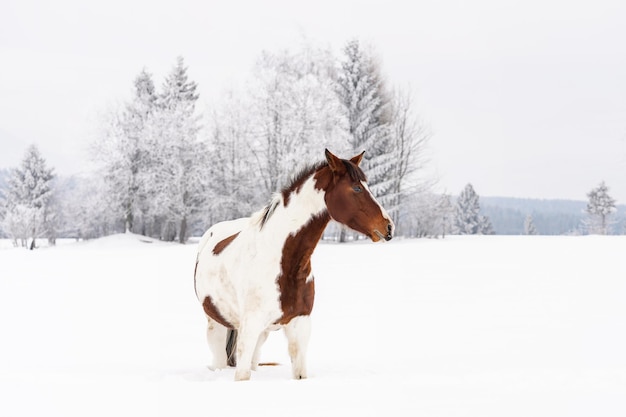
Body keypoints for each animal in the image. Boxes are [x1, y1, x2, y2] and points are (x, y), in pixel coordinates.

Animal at [193, 150, 392, 380]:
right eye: (357, 188)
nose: (388, 226)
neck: (283, 264)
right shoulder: (250, 327)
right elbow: (242, 375)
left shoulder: (300, 324)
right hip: (216, 325)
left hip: (262, 333)